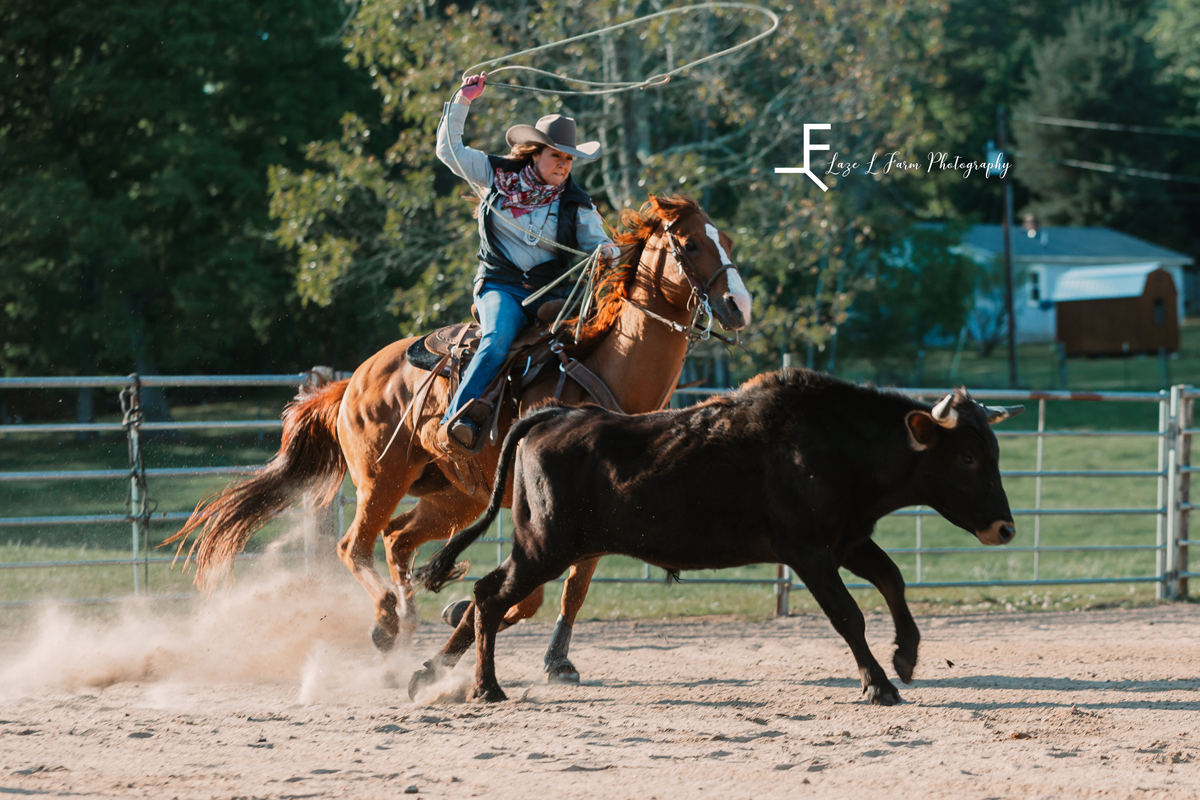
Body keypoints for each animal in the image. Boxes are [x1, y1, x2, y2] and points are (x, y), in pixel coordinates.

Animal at [166, 195, 748, 681]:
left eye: (726, 239)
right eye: (691, 244)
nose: (738, 306)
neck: (606, 376)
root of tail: (352, 379)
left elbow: (574, 588)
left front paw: (552, 657)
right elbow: (531, 595)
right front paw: (465, 615)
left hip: (455, 494)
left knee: (397, 539)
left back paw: (409, 621)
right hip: (382, 477)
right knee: (355, 545)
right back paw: (388, 622)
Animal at [434, 71, 619, 455]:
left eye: (568, 159)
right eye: (556, 154)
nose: (564, 166)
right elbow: (451, 150)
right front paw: (470, 89)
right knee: (493, 343)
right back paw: (456, 426)